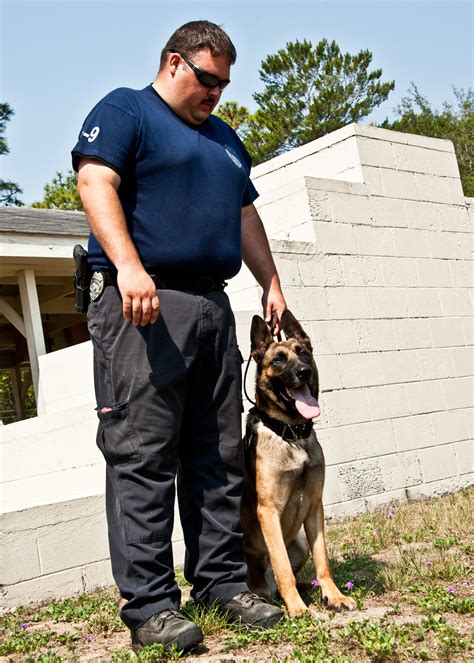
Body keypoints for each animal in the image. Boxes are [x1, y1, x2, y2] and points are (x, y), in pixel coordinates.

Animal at [241, 310, 356, 616]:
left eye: (302, 352)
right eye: (278, 360)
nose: (304, 371)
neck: (291, 434)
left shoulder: (315, 506)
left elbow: (323, 559)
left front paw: (334, 595)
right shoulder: (268, 511)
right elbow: (282, 568)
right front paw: (297, 609)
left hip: (301, 543)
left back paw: (310, 588)